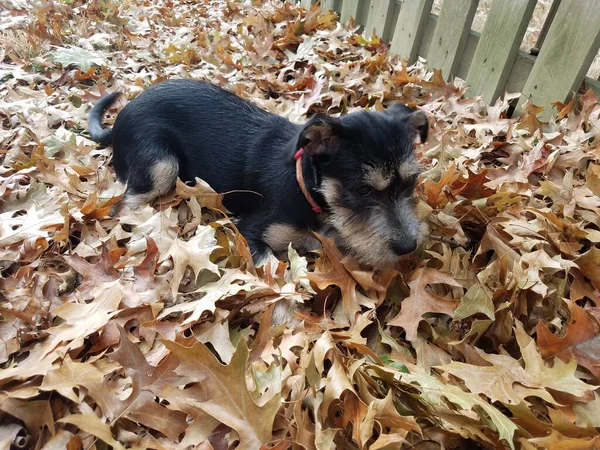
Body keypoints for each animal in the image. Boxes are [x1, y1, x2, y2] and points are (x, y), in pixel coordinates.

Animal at [86, 78, 428, 268]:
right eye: (363, 190)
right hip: (161, 167)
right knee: (123, 204)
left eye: (411, 182)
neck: (307, 187)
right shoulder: (249, 232)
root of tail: (123, 115)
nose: (408, 248)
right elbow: (277, 279)